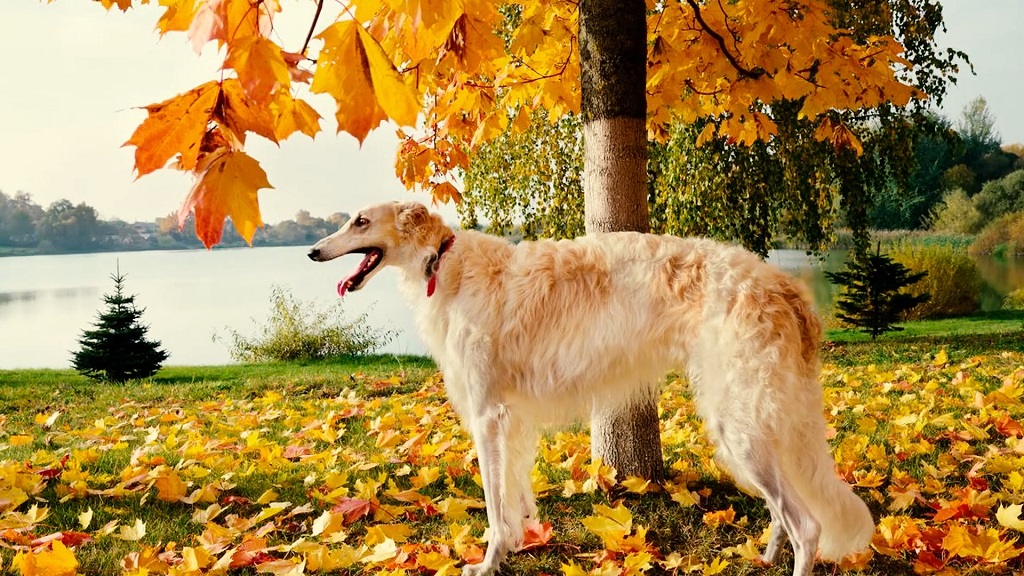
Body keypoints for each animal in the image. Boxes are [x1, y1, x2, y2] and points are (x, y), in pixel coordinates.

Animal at [305, 200, 872, 573]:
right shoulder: (511, 420)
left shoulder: (488, 415)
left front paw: (487, 562)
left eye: (360, 220)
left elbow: (493, 503)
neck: (445, 262)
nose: (312, 251)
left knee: (808, 526)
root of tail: (786, 289)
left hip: (740, 424)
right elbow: (514, 497)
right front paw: (520, 543)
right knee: (785, 515)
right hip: (753, 424)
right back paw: (766, 554)